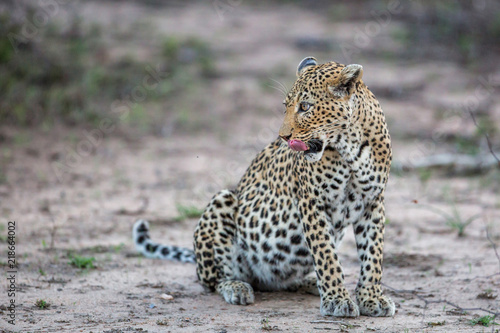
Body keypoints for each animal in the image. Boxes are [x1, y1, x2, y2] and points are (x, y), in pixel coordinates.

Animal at [133, 57, 394, 316]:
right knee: (214, 281)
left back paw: (308, 282)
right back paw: (237, 287)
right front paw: (337, 299)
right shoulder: (312, 201)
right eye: (285, 106)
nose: (284, 137)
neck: (350, 148)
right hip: (222, 201)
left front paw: (371, 298)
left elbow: (373, 254)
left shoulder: (373, 201)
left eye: (305, 106)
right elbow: (326, 255)